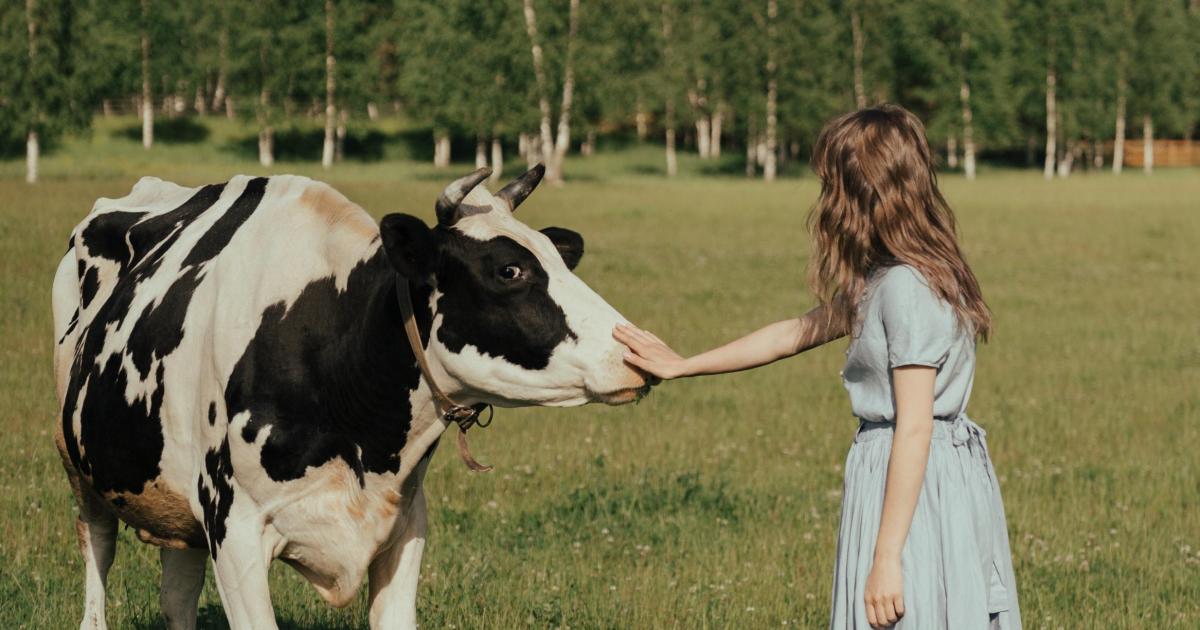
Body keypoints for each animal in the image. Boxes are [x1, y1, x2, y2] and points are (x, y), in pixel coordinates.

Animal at [52, 166, 648, 628]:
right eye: (509, 270)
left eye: (561, 260)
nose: (639, 351)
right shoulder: (234, 528)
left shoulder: (405, 526)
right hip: (80, 469)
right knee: (97, 558)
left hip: (178, 510)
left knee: (177, 598)